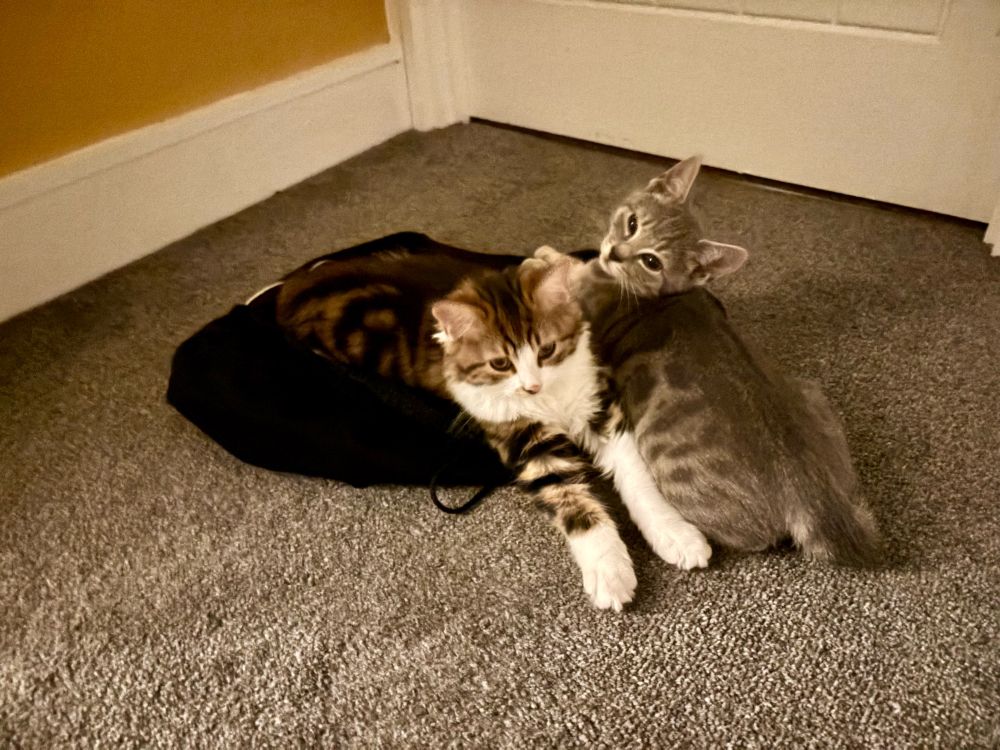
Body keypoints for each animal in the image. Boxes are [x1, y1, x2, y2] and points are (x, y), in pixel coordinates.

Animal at [275, 235, 711, 610]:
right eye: (501, 364)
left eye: (547, 350)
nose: (532, 386)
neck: (550, 401)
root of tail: (291, 287)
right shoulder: (527, 442)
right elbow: (576, 507)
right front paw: (610, 570)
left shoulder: (598, 409)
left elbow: (639, 480)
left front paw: (676, 535)